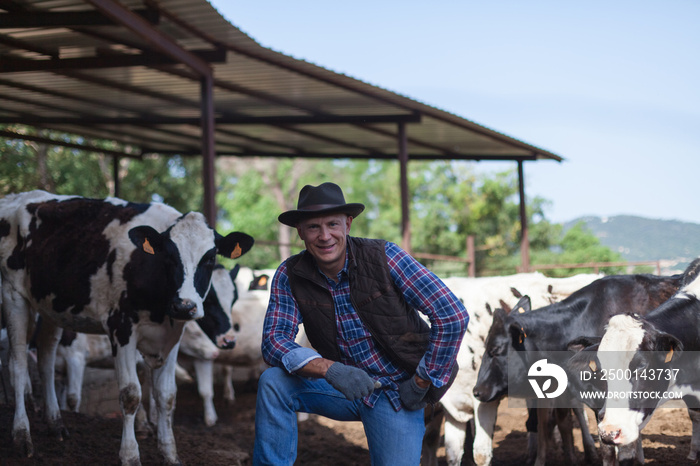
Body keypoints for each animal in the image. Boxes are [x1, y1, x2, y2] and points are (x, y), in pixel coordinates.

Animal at [0, 190, 256, 466]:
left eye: (209, 258)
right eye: (168, 256)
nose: (184, 306)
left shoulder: (172, 336)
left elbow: (166, 395)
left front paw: (170, 454)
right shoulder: (120, 328)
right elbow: (131, 394)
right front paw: (130, 455)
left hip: (50, 307)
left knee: (46, 361)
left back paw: (56, 424)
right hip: (13, 296)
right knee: (17, 364)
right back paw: (22, 435)